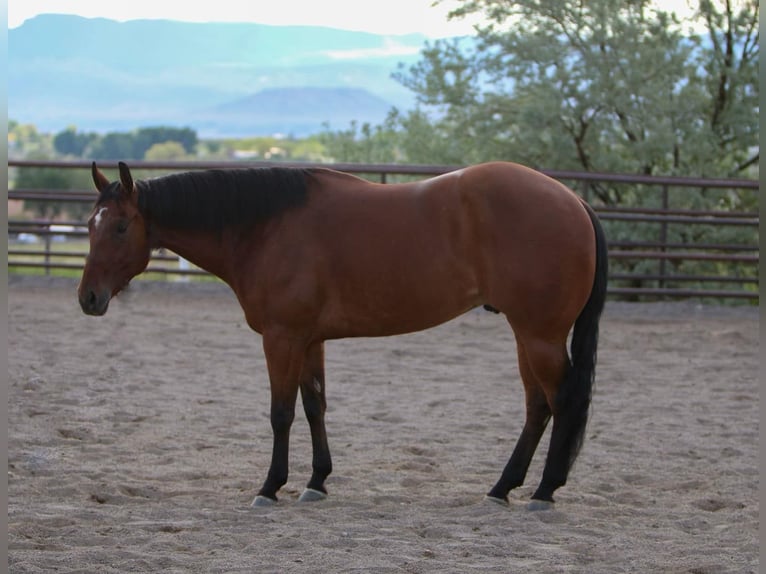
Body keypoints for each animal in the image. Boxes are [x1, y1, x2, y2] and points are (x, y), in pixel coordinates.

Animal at [78, 160, 608, 510]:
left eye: (121, 226)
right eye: (89, 225)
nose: (89, 298)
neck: (266, 227)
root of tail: (573, 200)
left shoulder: (282, 338)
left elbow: (281, 413)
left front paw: (270, 487)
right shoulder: (310, 340)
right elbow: (315, 405)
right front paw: (317, 482)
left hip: (539, 335)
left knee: (562, 401)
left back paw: (544, 491)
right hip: (525, 334)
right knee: (538, 406)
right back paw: (502, 488)